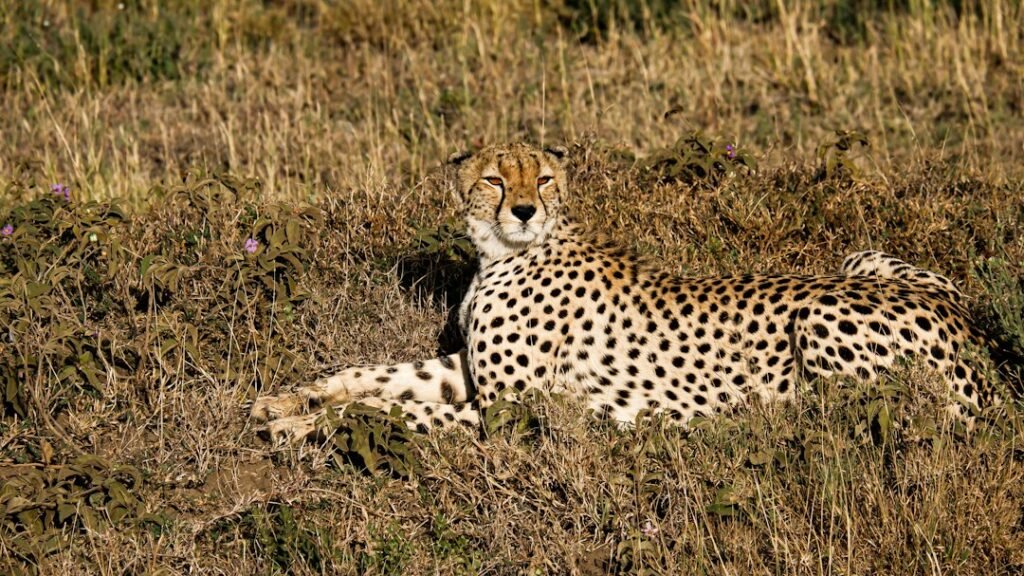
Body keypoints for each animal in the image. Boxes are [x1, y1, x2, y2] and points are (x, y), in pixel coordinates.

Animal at [251, 142, 998, 443]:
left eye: (543, 178)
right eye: (494, 179)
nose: (524, 209)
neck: (503, 254)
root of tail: (968, 325)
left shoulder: (518, 411)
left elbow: (392, 412)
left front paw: (301, 426)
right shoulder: (464, 371)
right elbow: (374, 375)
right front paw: (290, 399)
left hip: (818, 318)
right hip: (863, 255)